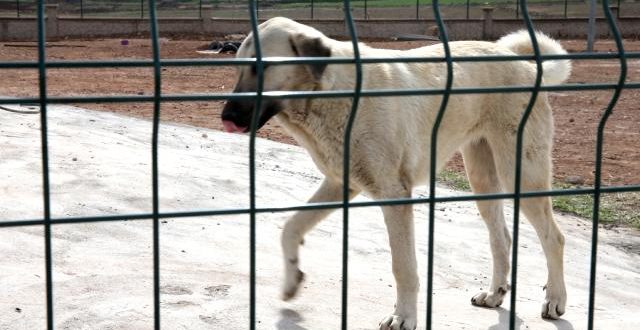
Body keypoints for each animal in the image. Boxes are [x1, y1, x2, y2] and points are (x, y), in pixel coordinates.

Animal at [221, 17, 568, 330]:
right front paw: (292, 278)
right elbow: (290, 227)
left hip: (521, 172)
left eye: (261, 68)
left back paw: (555, 299)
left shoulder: (394, 195)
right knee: (501, 237)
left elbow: (403, 267)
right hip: (483, 179)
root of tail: (525, 65)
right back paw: (495, 293)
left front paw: (404, 317)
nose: (225, 116)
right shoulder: (339, 184)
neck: (332, 93)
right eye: (238, 68)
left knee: (554, 237)